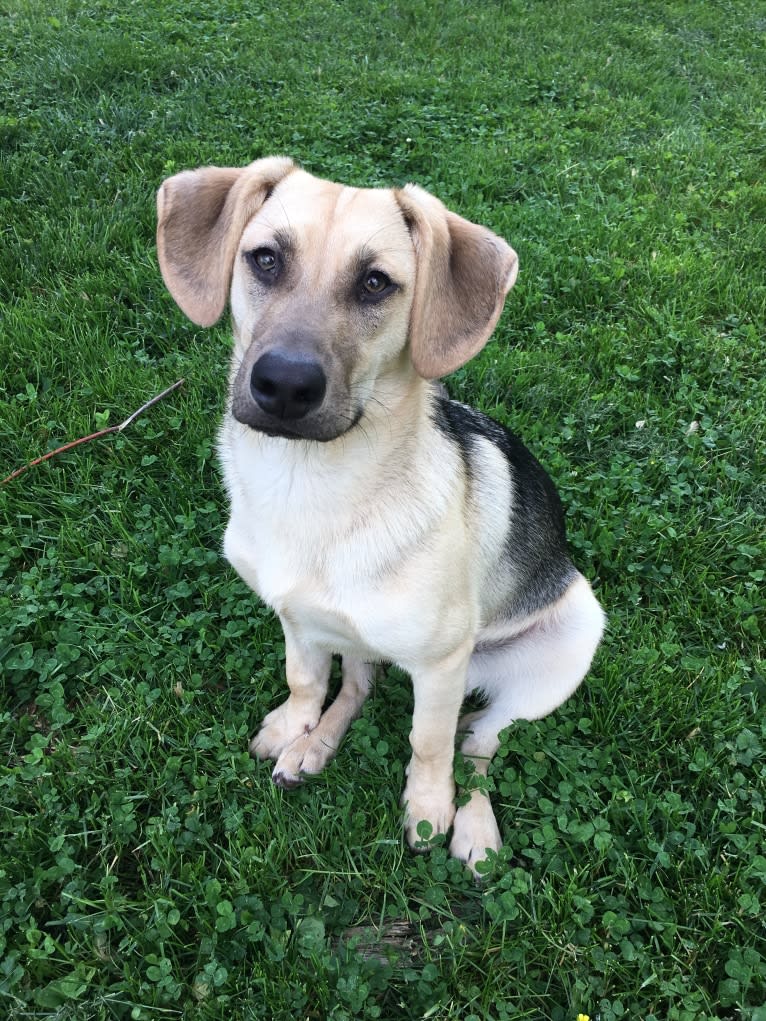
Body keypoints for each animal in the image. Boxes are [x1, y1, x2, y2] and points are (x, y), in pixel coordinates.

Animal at [157, 155, 604, 873]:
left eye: (375, 283)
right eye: (264, 259)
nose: (284, 385)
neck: (310, 488)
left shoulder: (442, 666)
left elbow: (430, 741)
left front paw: (428, 807)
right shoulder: (298, 620)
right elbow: (306, 682)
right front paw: (296, 728)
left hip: (563, 646)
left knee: (480, 738)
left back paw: (473, 826)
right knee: (362, 686)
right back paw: (312, 747)